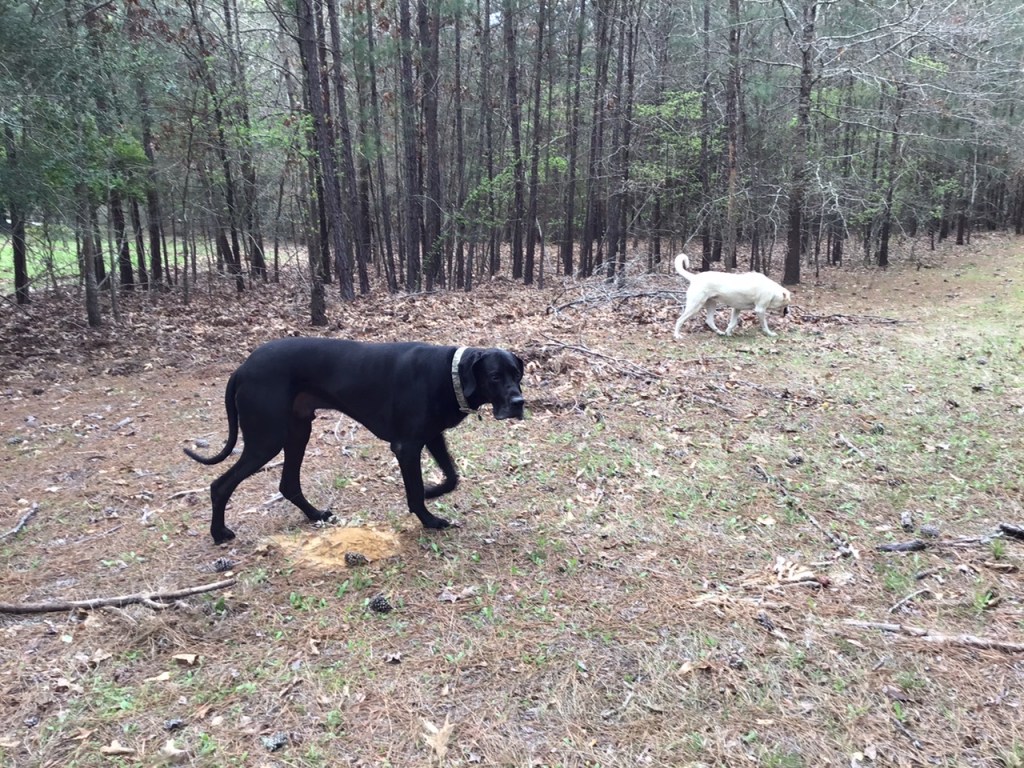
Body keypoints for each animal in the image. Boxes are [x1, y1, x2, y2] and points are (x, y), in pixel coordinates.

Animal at [185, 338, 526, 544]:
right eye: (495, 376)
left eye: (517, 373)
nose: (519, 402)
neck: (450, 374)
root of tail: (242, 368)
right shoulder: (407, 446)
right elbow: (414, 491)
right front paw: (429, 519)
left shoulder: (431, 436)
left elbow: (452, 475)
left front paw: (432, 491)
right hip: (266, 439)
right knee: (220, 485)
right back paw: (219, 533)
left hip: (297, 431)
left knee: (288, 484)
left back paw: (315, 515)